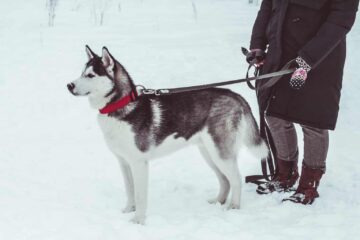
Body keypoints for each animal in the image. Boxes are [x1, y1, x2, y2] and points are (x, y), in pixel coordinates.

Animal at [67, 46, 268, 224]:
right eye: (81, 72)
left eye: (90, 75)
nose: (69, 85)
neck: (120, 106)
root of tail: (234, 94)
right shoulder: (124, 162)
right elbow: (130, 190)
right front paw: (128, 210)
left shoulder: (139, 163)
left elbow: (140, 196)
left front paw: (138, 220)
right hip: (209, 153)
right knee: (225, 180)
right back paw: (218, 202)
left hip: (221, 154)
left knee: (236, 179)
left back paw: (233, 207)